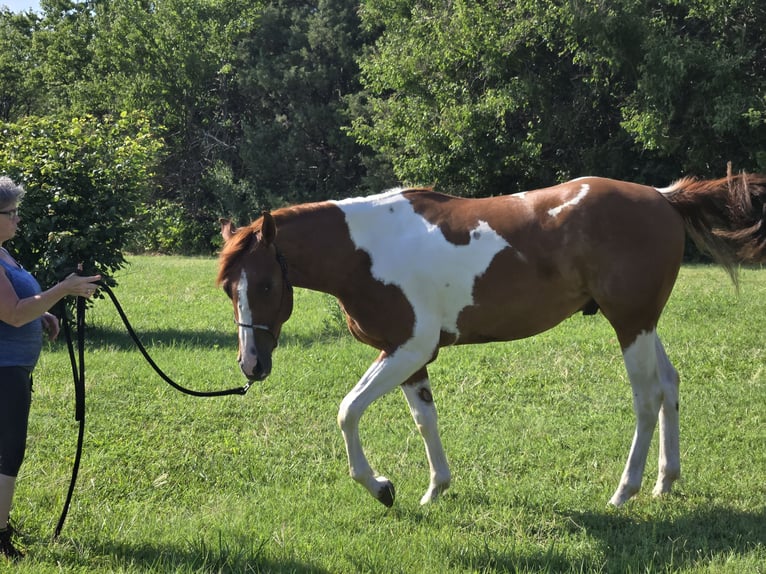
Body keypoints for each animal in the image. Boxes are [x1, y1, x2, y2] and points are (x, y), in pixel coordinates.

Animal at [216, 170, 766, 508]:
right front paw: (436, 489)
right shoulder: (409, 356)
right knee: (670, 387)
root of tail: (663, 196)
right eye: (227, 288)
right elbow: (424, 420)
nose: (251, 365)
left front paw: (381, 487)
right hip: (644, 323)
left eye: (264, 285)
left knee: (648, 398)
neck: (365, 250)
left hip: (630, 324)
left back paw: (623, 491)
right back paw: (664, 482)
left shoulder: (408, 348)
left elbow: (348, 410)